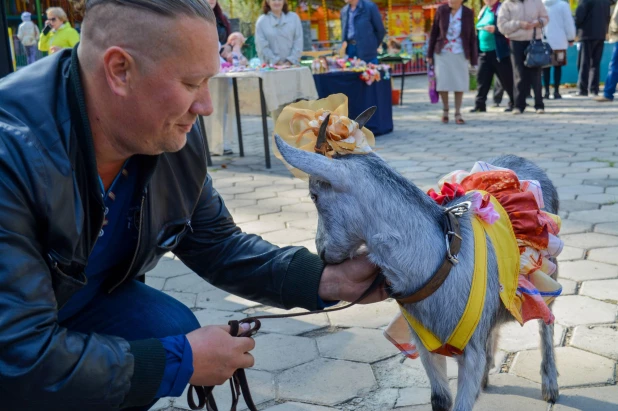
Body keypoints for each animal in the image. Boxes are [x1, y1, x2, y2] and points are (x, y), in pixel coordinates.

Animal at [274, 136, 560, 411]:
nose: (321, 251)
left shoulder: (470, 355)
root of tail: (522, 160)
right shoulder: (425, 347)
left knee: (546, 322)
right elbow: (440, 400)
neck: (439, 264)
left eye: (314, 196)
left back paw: (550, 384)